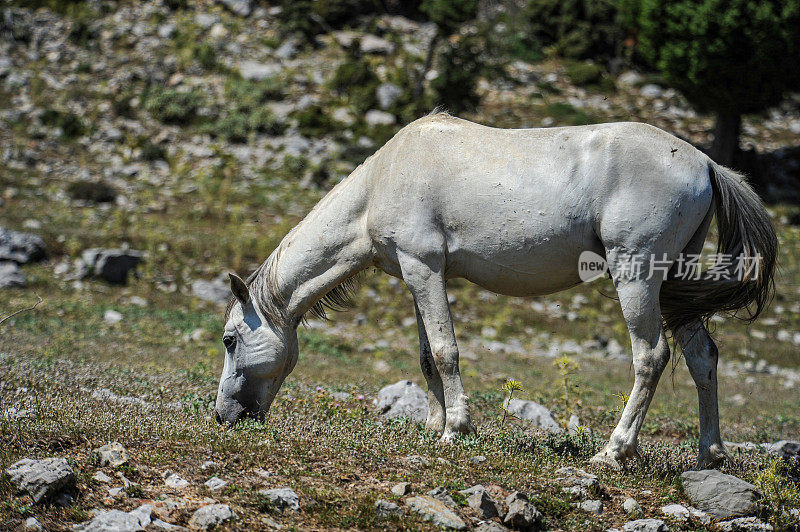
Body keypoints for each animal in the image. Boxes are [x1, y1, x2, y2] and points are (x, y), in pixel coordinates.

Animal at [212, 113, 776, 470]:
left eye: (229, 340)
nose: (223, 416)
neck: (380, 183)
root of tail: (705, 163)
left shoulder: (425, 268)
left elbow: (445, 350)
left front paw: (456, 429)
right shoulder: (418, 277)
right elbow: (426, 357)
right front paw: (434, 427)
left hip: (636, 275)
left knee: (651, 356)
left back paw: (615, 452)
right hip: (673, 280)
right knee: (702, 357)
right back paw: (709, 456)